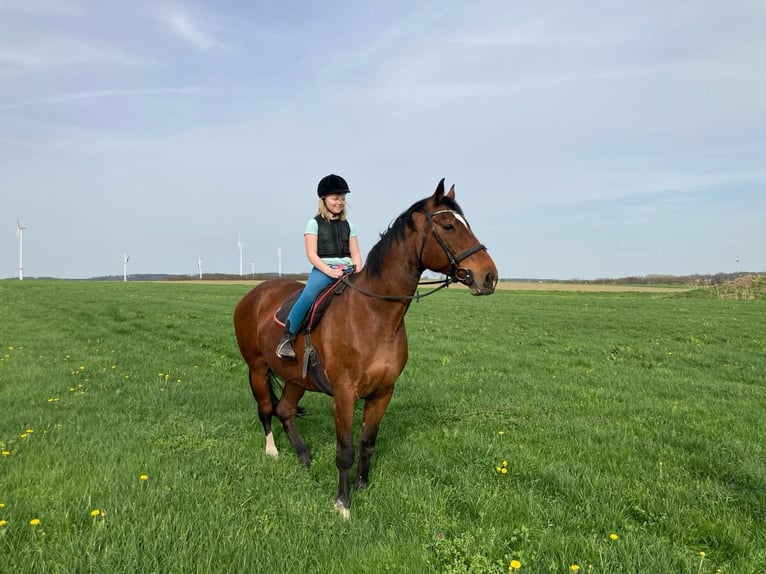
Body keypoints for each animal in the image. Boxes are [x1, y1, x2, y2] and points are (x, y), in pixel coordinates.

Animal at [232, 178, 498, 520]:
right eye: (449, 226)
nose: (489, 276)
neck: (374, 314)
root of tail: (253, 295)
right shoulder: (345, 394)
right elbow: (345, 450)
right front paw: (343, 504)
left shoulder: (383, 392)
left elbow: (367, 442)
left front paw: (362, 485)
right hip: (256, 368)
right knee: (266, 408)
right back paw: (273, 451)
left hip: (295, 377)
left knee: (286, 410)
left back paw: (304, 457)